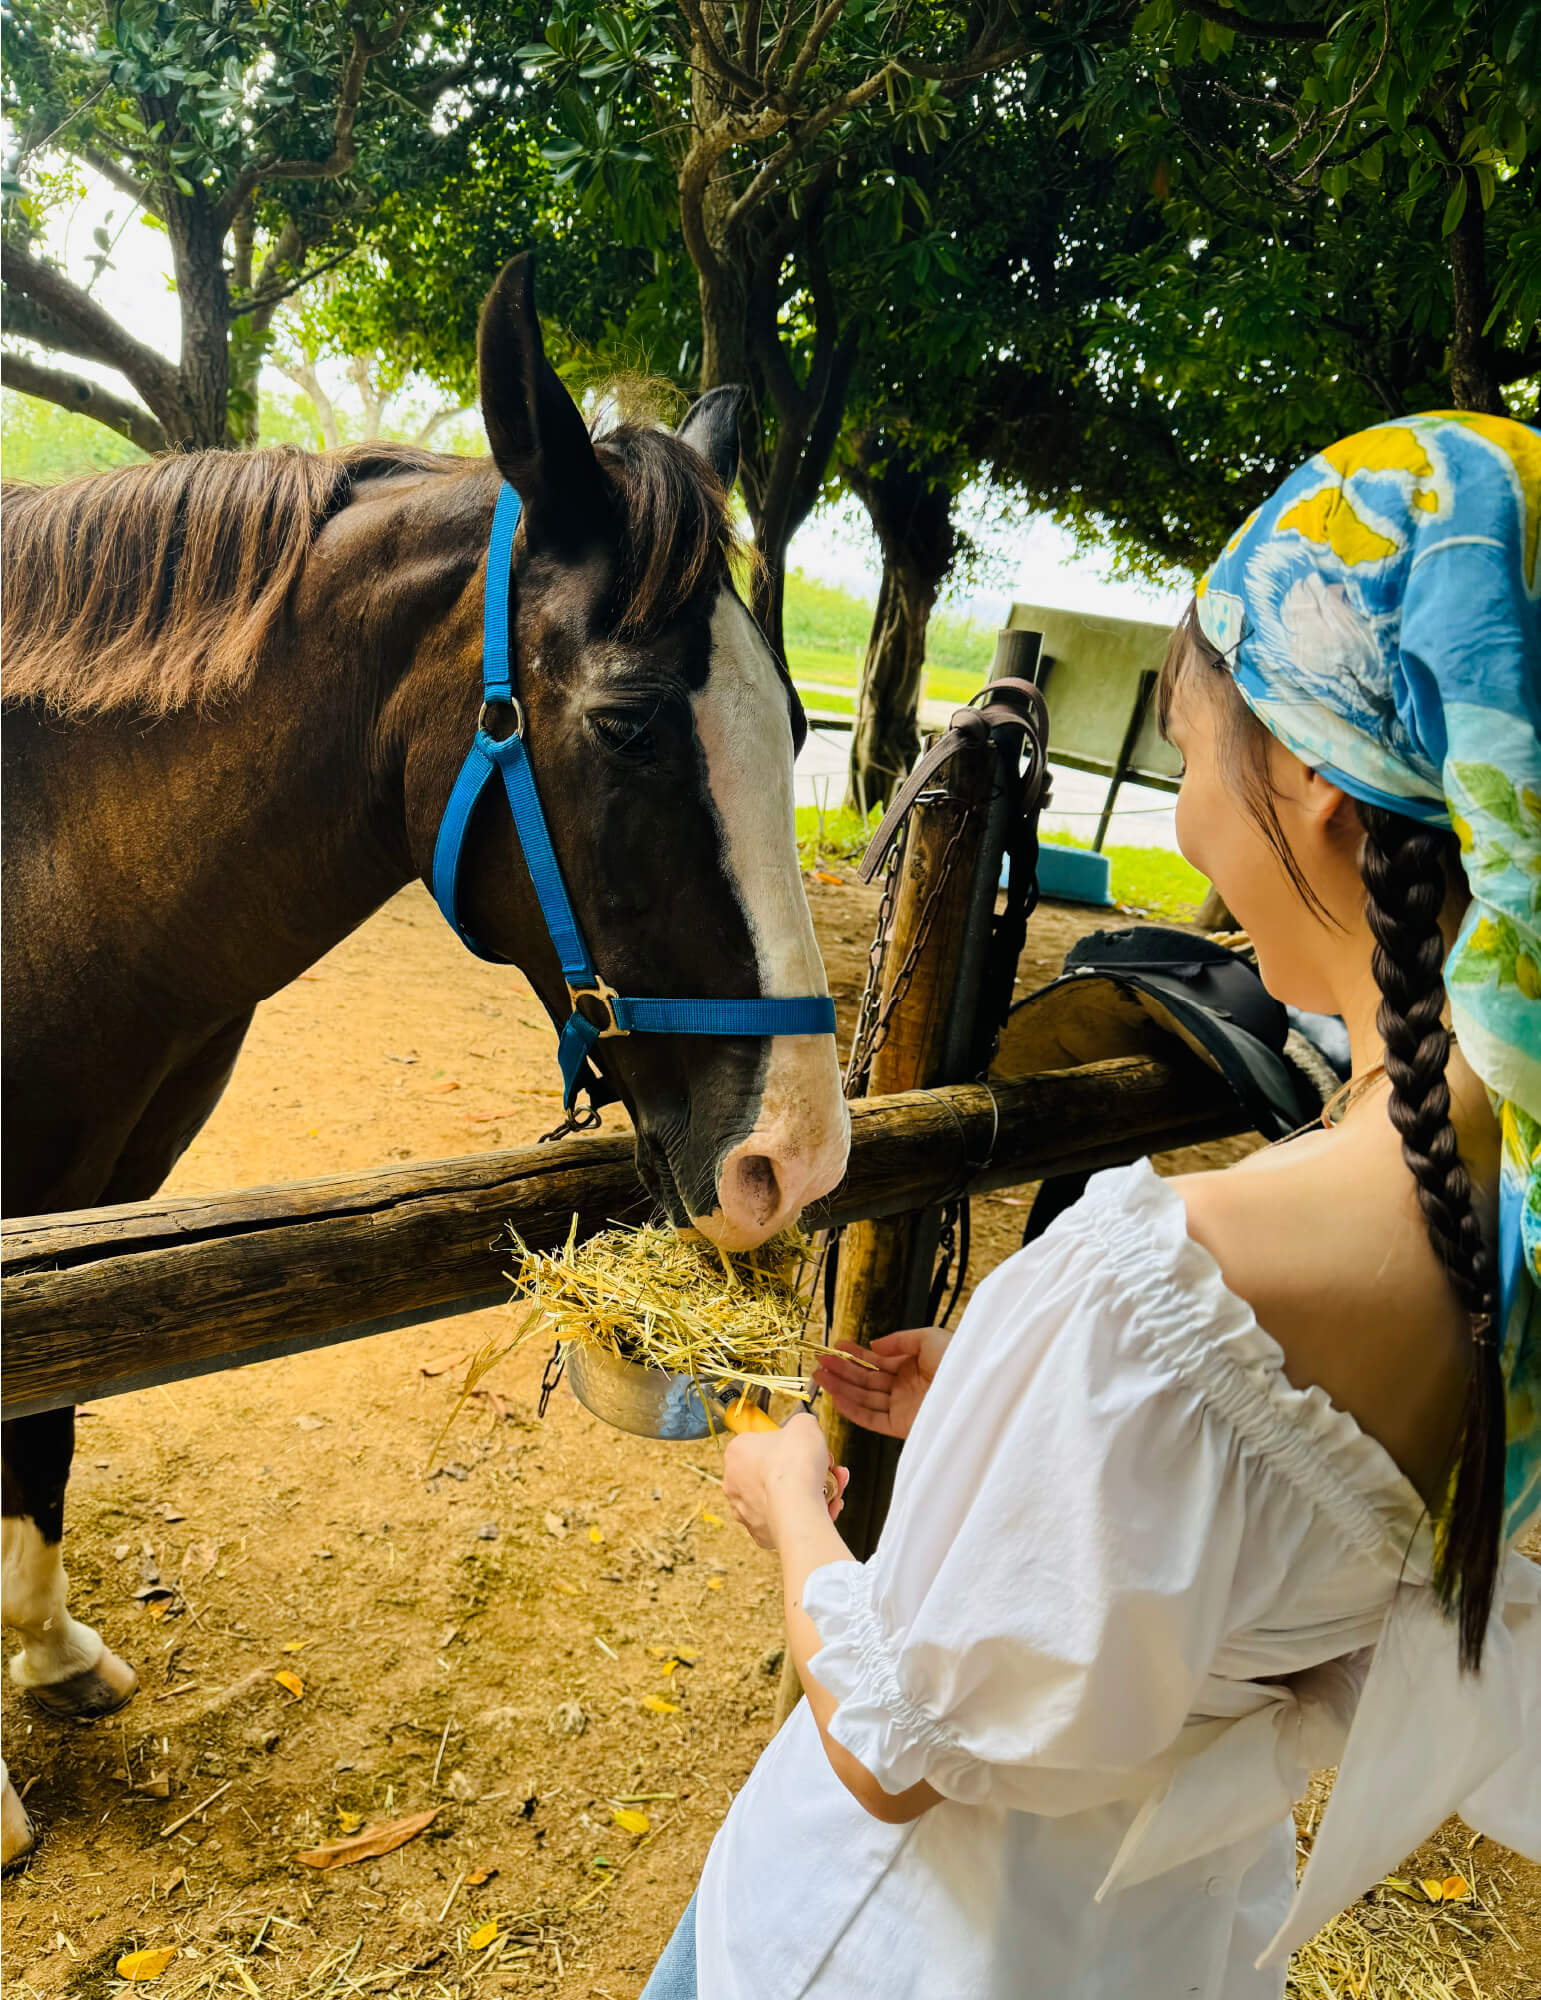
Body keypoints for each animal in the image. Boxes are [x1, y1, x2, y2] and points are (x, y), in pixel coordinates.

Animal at [0, 258, 840, 1864]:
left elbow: (40, 1429)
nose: (800, 1158)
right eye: (630, 725)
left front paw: (48, 1653)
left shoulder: (88, 1210)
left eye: (797, 726)